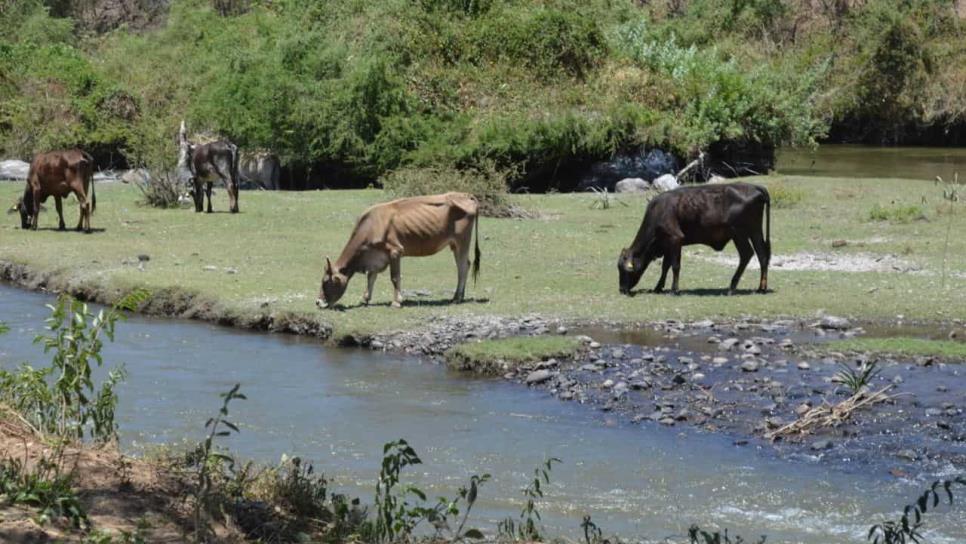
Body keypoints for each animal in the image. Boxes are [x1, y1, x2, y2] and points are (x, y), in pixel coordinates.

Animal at [320, 193, 482, 308]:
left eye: (326, 281)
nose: (318, 302)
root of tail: (466, 195)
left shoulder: (395, 251)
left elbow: (395, 277)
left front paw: (397, 302)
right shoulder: (376, 256)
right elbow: (371, 276)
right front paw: (366, 298)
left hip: (462, 240)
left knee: (462, 266)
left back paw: (456, 298)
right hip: (455, 244)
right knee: (465, 265)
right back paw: (459, 296)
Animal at [620, 183, 772, 296]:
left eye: (623, 269)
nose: (621, 289)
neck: (658, 210)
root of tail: (755, 186)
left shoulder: (675, 238)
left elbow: (675, 266)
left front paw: (674, 290)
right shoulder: (669, 243)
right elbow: (666, 266)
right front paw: (658, 287)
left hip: (739, 233)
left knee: (747, 254)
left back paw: (732, 287)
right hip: (755, 231)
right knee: (762, 255)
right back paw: (761, 288)